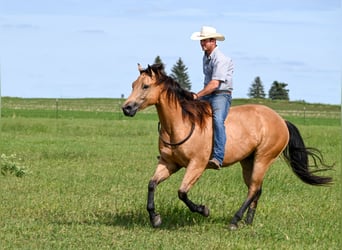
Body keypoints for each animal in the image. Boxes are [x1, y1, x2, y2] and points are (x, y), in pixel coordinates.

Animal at [121, 63, 332, 230]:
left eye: (145, 86)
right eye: (133, 85)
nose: (126, 108)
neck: (181, 124)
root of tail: (281, 120)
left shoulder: (196, 165)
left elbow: (182, 192)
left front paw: (204, 210)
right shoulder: (169, 163)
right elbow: (151, 184)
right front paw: (155, 218)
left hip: (264, 159)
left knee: (253, 189)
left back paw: (234, 221)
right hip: (248, 161)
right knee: (256, 189)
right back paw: (247, 221)